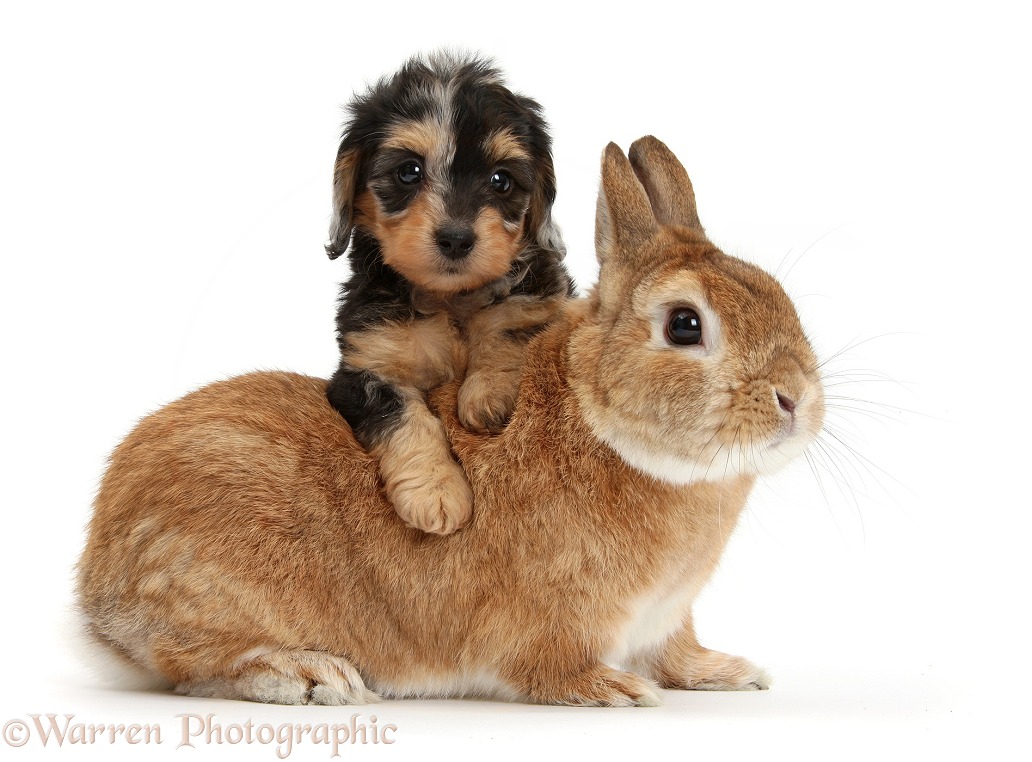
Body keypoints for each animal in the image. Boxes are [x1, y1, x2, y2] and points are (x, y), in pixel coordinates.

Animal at [76, 136, 825, 706]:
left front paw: (727, 672)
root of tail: (98, 589)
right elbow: (550, 668)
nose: (797, 399)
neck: (600, 423)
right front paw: (615, 689)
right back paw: (309, 674)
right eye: (685, 325)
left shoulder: (667, 618)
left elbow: (675, 652)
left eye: (776, 293)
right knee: (195, 663)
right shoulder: (544, 624)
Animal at [326, 53, 577, 532]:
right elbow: (404, 417)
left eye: (501, 181)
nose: (457, 238)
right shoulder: (364, 368)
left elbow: (511, 324)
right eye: (408, 172)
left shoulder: (546, 298)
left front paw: (488, 394)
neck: (449, 299)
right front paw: (435, 491)